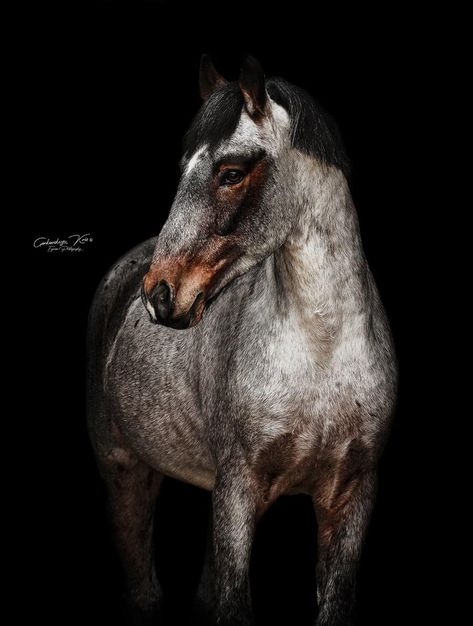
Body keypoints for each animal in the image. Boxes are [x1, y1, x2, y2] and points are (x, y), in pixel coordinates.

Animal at [86, 54, 396, 624]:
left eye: (230, 173)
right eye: (183, 168)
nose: (159, 295)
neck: (321, 351)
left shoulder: (352, 495)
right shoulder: (237, 491)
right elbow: (233, 604)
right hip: (124, 471)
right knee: (142, 584)